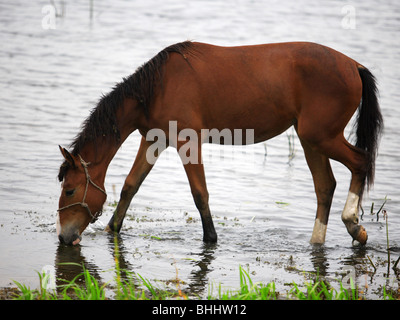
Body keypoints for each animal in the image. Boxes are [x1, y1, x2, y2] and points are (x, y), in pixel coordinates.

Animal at [56, 40, 382, 245]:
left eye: (70, 189)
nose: (63, 235)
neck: (157, 87)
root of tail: (354, 66)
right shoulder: (153, 140)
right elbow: (129, 186)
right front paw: (113, 228)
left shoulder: (187, 141)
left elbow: (200, 194)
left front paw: (211, 238)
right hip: (310, 141)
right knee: (325, 186)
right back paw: (318, 241)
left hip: (321, 137)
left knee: (360, 162)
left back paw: (353, 224)